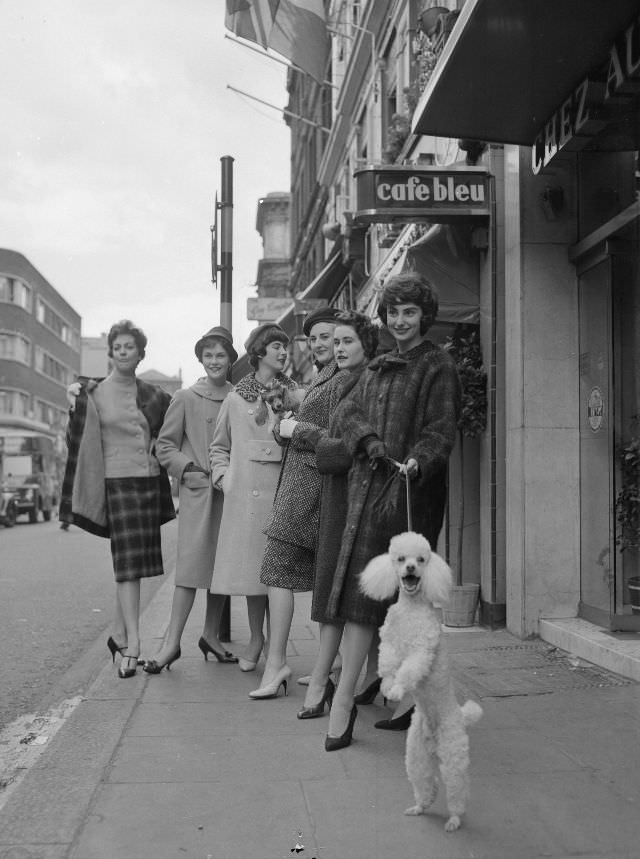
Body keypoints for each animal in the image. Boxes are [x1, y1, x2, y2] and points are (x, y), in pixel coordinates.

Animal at [360, 532, 480, 832]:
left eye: (422, 560)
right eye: (400, 559)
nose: (411, 569)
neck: (411, 609)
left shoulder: (421, 650)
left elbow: (408, 670)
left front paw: (397, 690)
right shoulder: (390, 643)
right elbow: (388, 664)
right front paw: (386, 687)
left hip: (453, 754)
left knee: (457, 789)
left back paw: (454, 819)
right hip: (416, 755)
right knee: (427, 783)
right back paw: (420, 807)